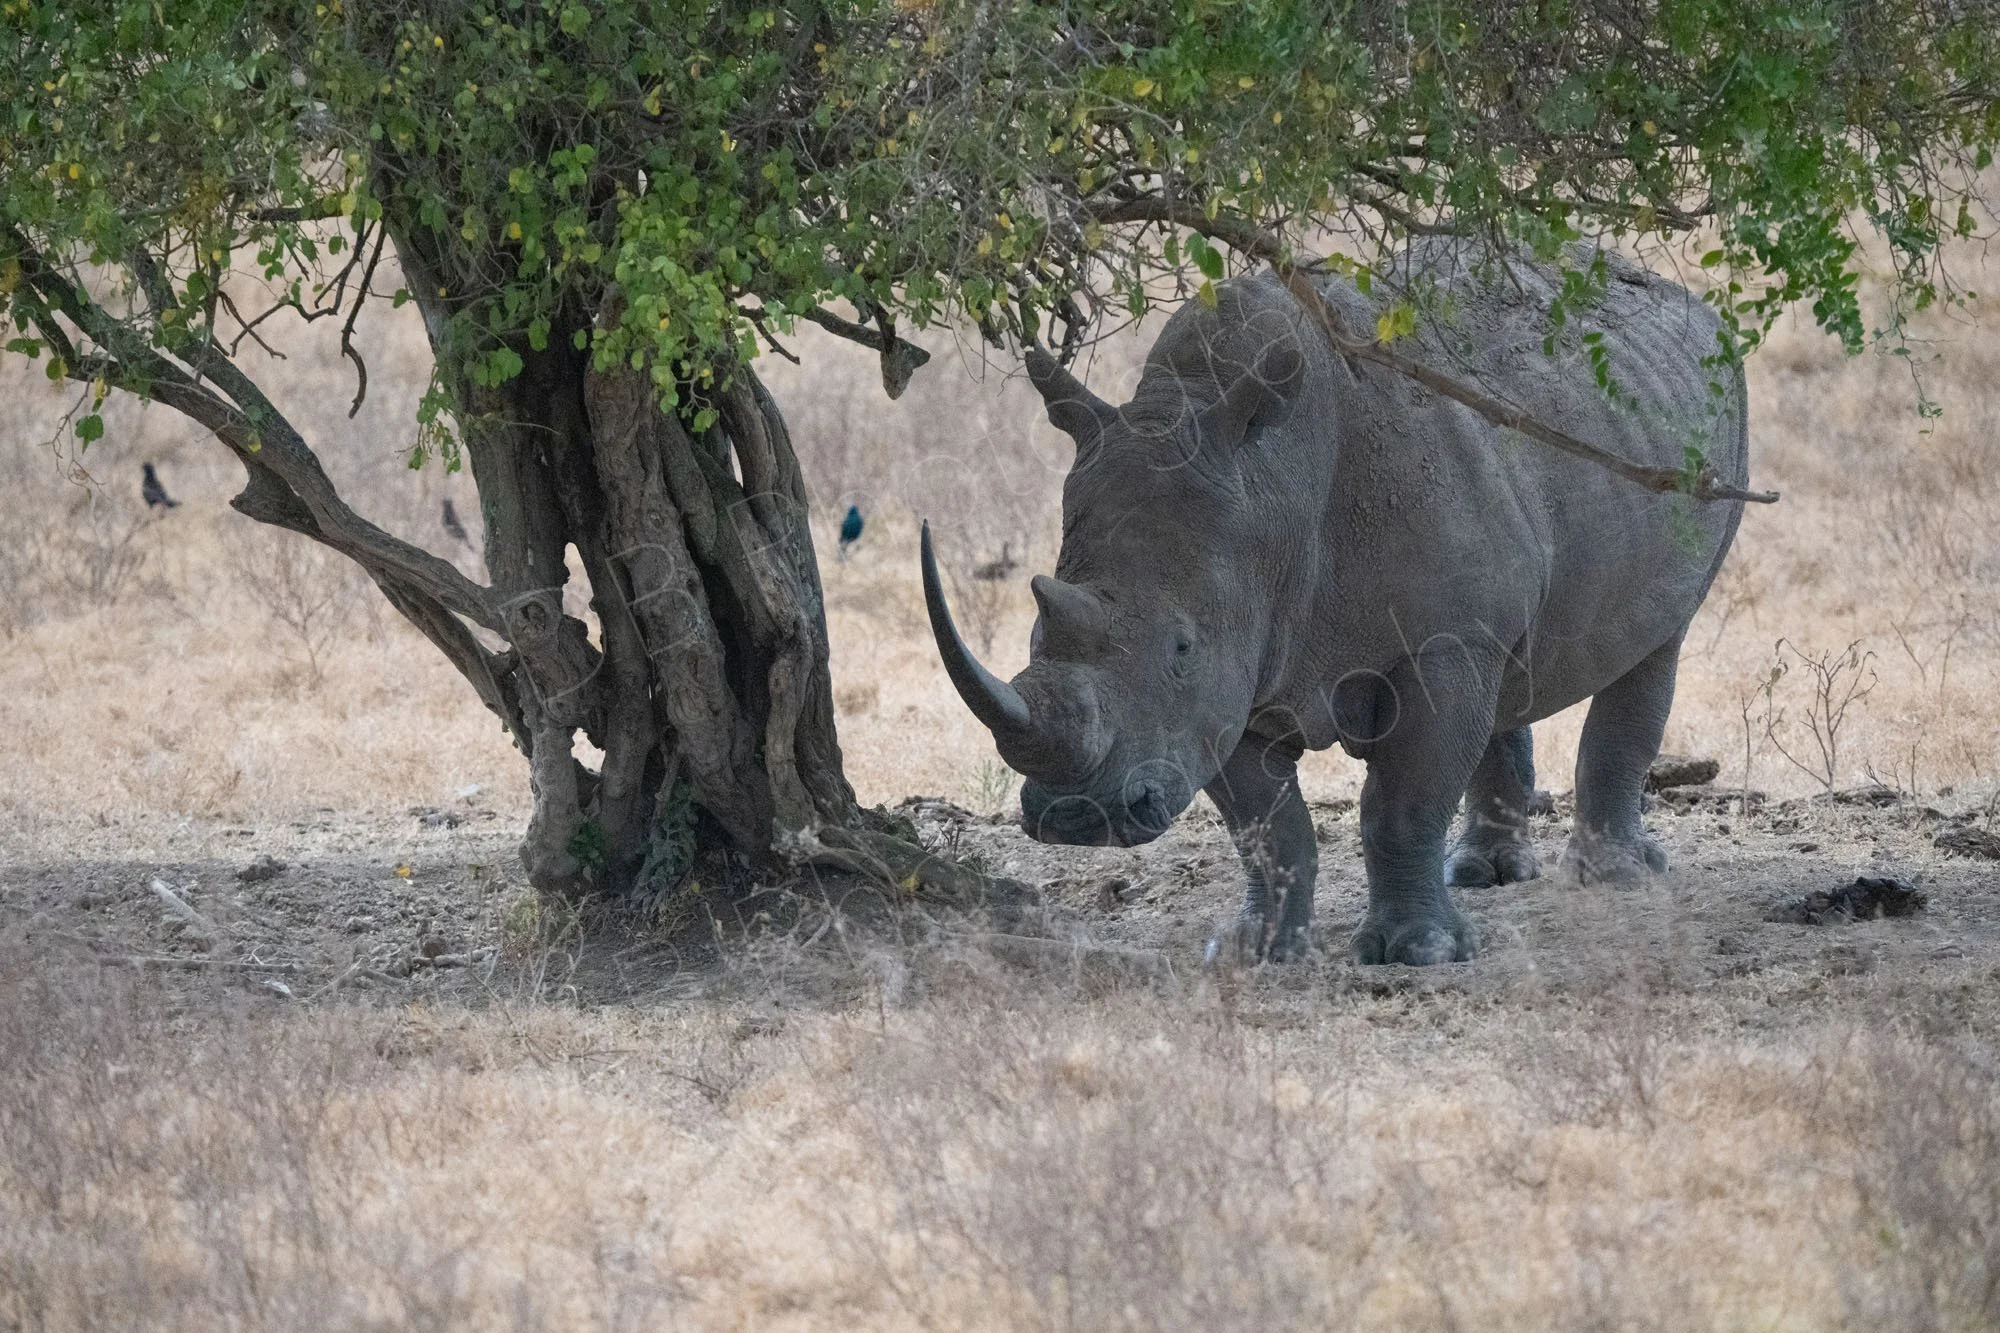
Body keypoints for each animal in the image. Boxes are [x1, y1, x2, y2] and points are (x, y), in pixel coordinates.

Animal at [922, 240, 1748, 965]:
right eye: (1035, 636)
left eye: (1181, 648)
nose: (1074, 816)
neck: (1271, 487)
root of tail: (1697, 307)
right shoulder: (1239, 674)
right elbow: (1266, 826)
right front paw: (1258, 951)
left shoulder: (1427, 643)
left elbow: (1403, 802)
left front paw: (1419, 953)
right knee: (1509, 666)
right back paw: (1483, 875)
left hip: (1719, 435)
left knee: (1656, 645)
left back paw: (1615, 880)